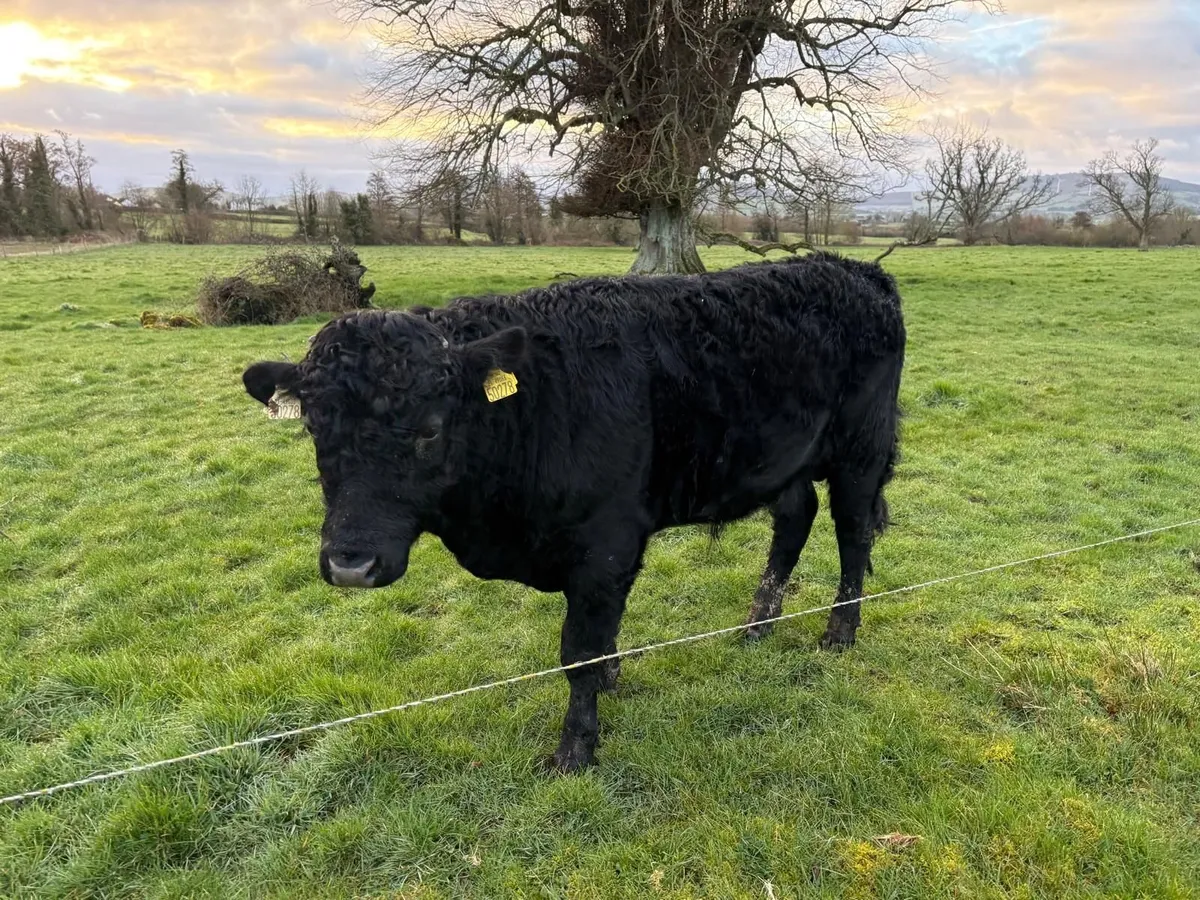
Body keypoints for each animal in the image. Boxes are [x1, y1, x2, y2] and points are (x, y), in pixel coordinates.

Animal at [242, 252, 905, 772]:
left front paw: (576, 748)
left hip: (861, 448)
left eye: (430, 429)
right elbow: (600, 640)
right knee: (794, 519)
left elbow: (578, 651)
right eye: (314, 426)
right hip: (782, 458)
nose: (350, 563)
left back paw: (839, 632)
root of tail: (855, 270)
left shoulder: (606, 543)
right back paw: (757, 625)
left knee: (852, 534)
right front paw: (612, 681)